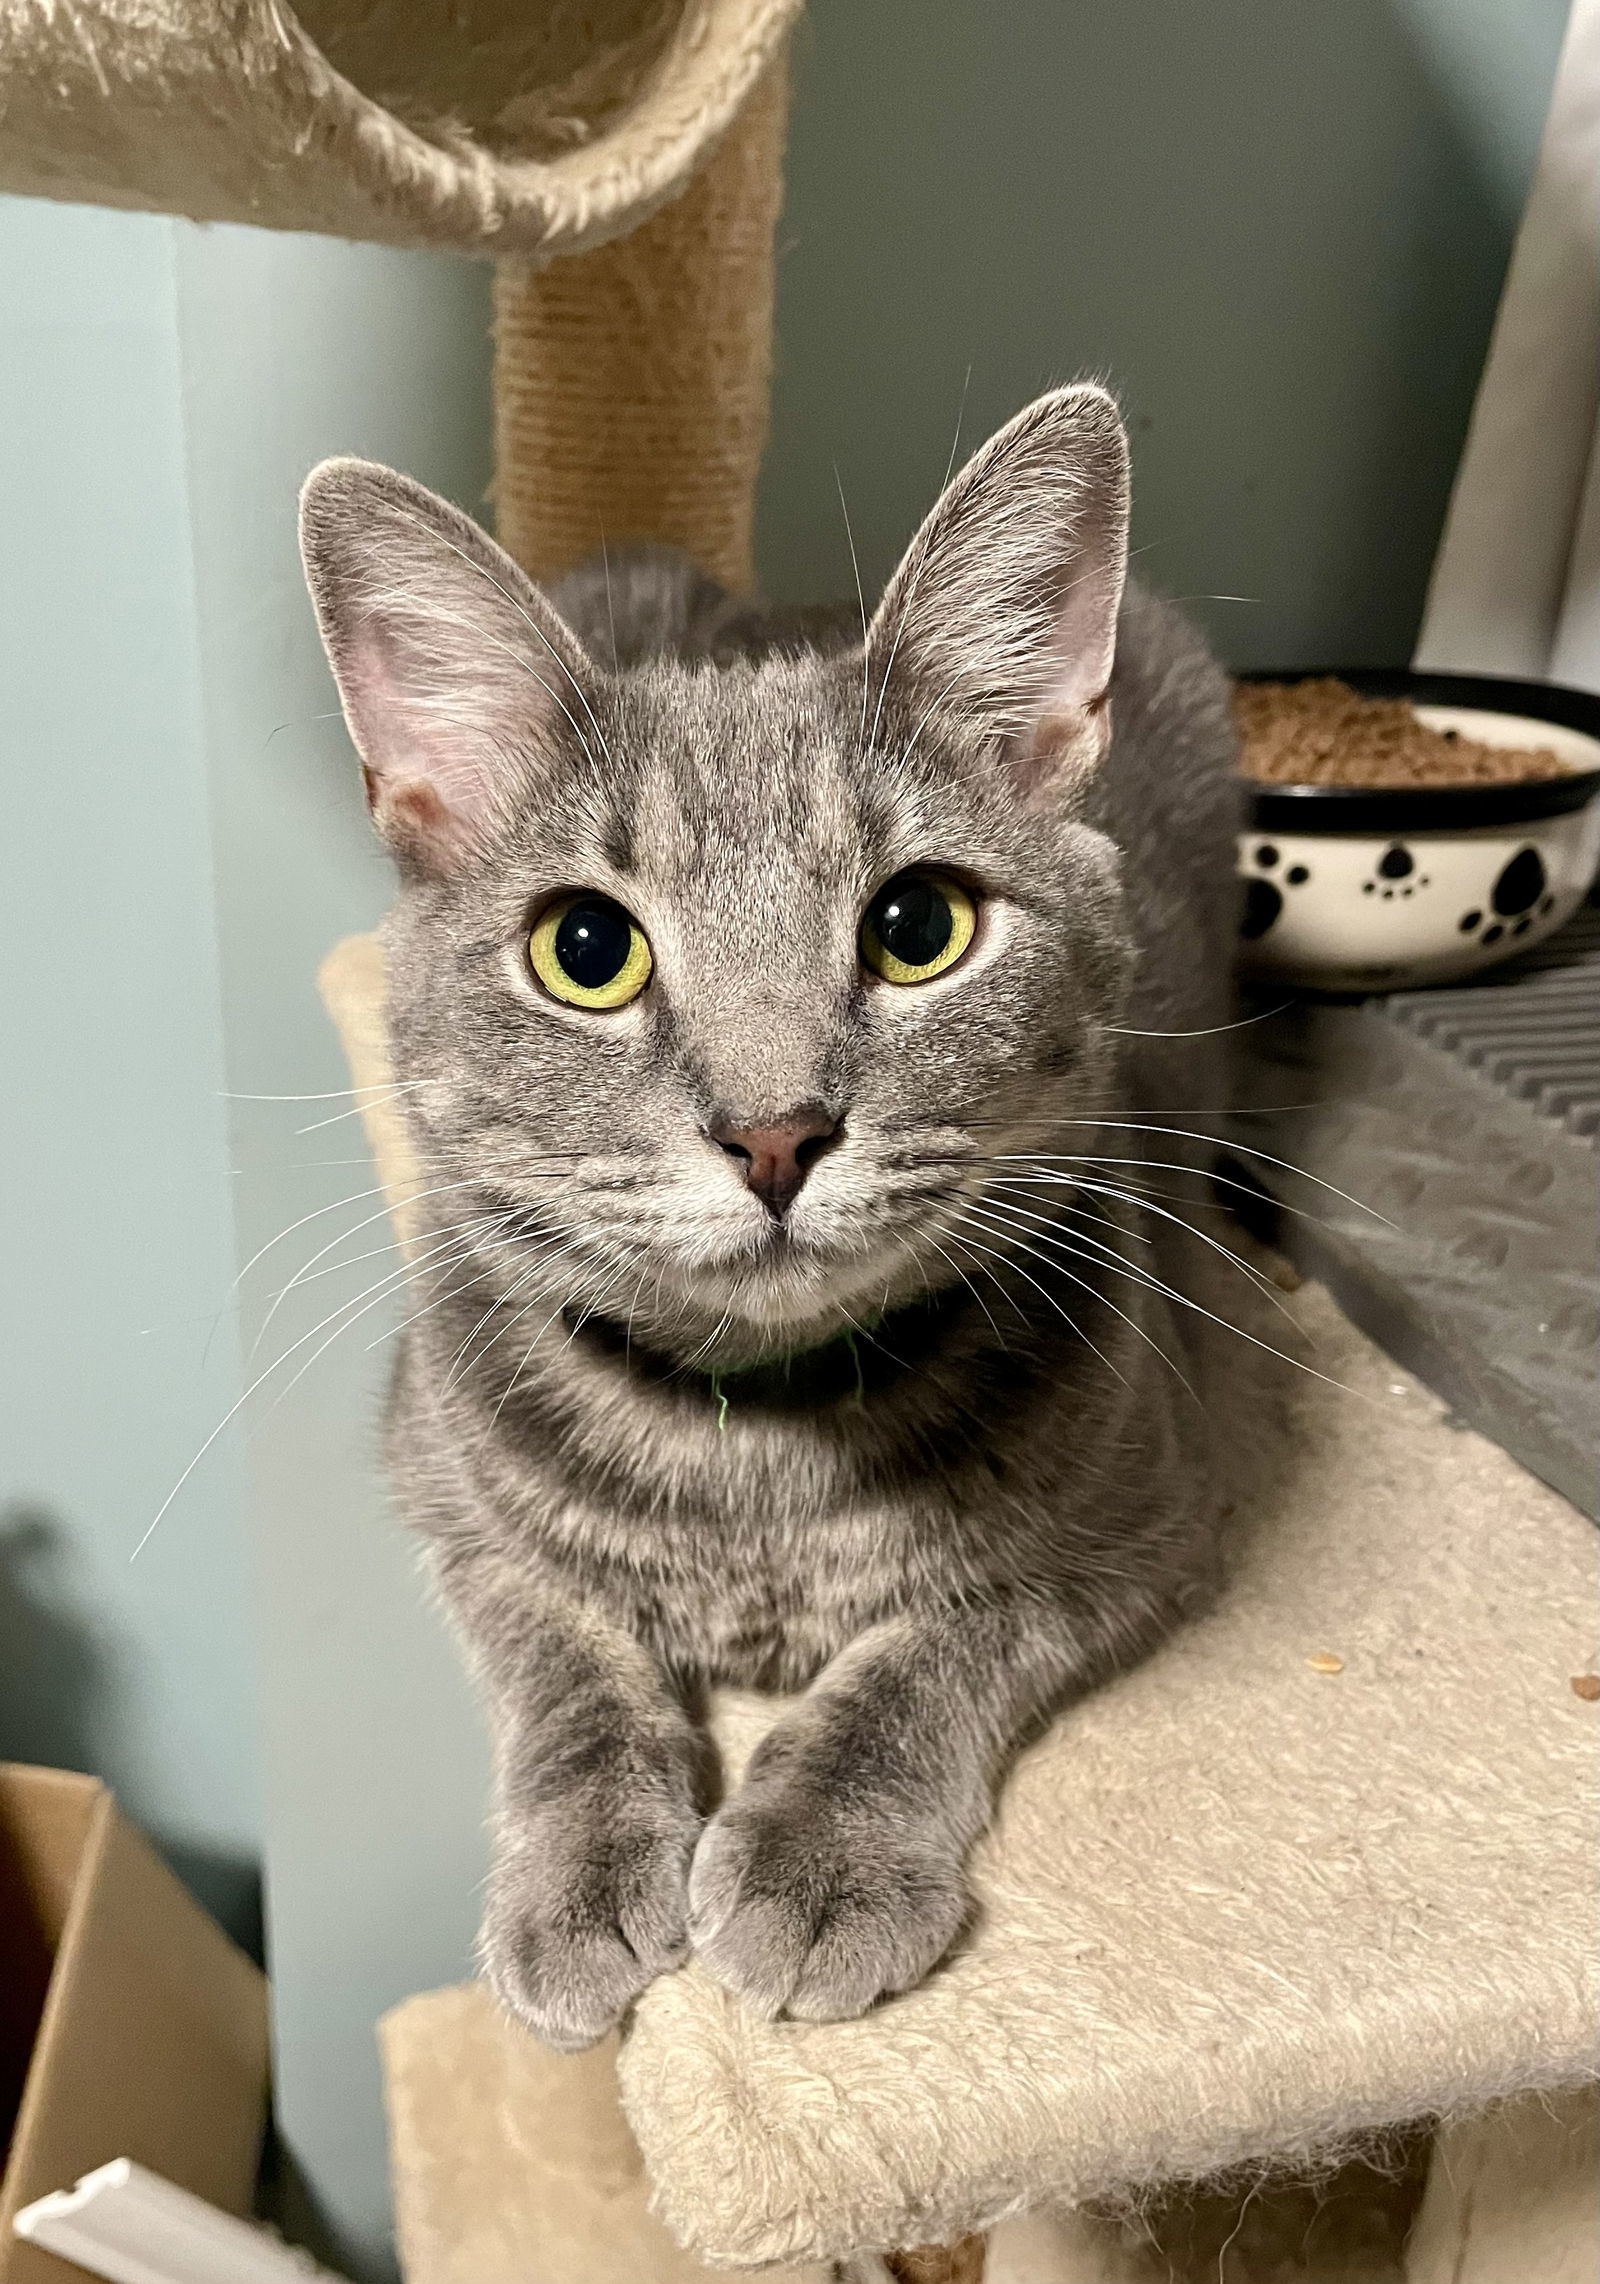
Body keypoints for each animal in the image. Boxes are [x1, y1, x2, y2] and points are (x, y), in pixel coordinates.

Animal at [296, 388, 1250, 2055]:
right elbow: (556, 1640)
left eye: (919, 926)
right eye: (587, 949)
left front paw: (819, 1855)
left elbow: (950, 1634)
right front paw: (582, 1872)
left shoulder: (1156, 1504)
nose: (775, 1131)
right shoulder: (436, 1474)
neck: (760, 1467)